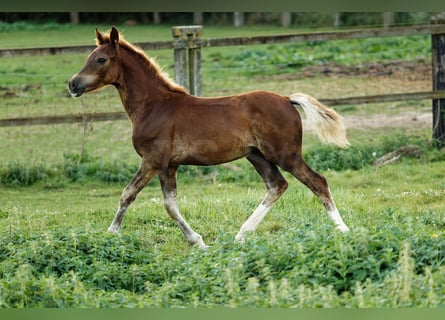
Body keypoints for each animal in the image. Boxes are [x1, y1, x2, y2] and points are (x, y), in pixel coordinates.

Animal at [67, 27, 348, 249]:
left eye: (101, 59)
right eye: (89, 57)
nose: (73, 84)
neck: (154, 106)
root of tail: (287, 99)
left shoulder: (153, 160)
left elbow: (128, 194)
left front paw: (111, 234)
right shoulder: (169, 165)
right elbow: (170, 204)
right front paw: (198, 242)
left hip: (285, 154)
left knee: (317, 181)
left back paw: (343, 231)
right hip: (256, 155)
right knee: (277, 185)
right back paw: (241, 235)